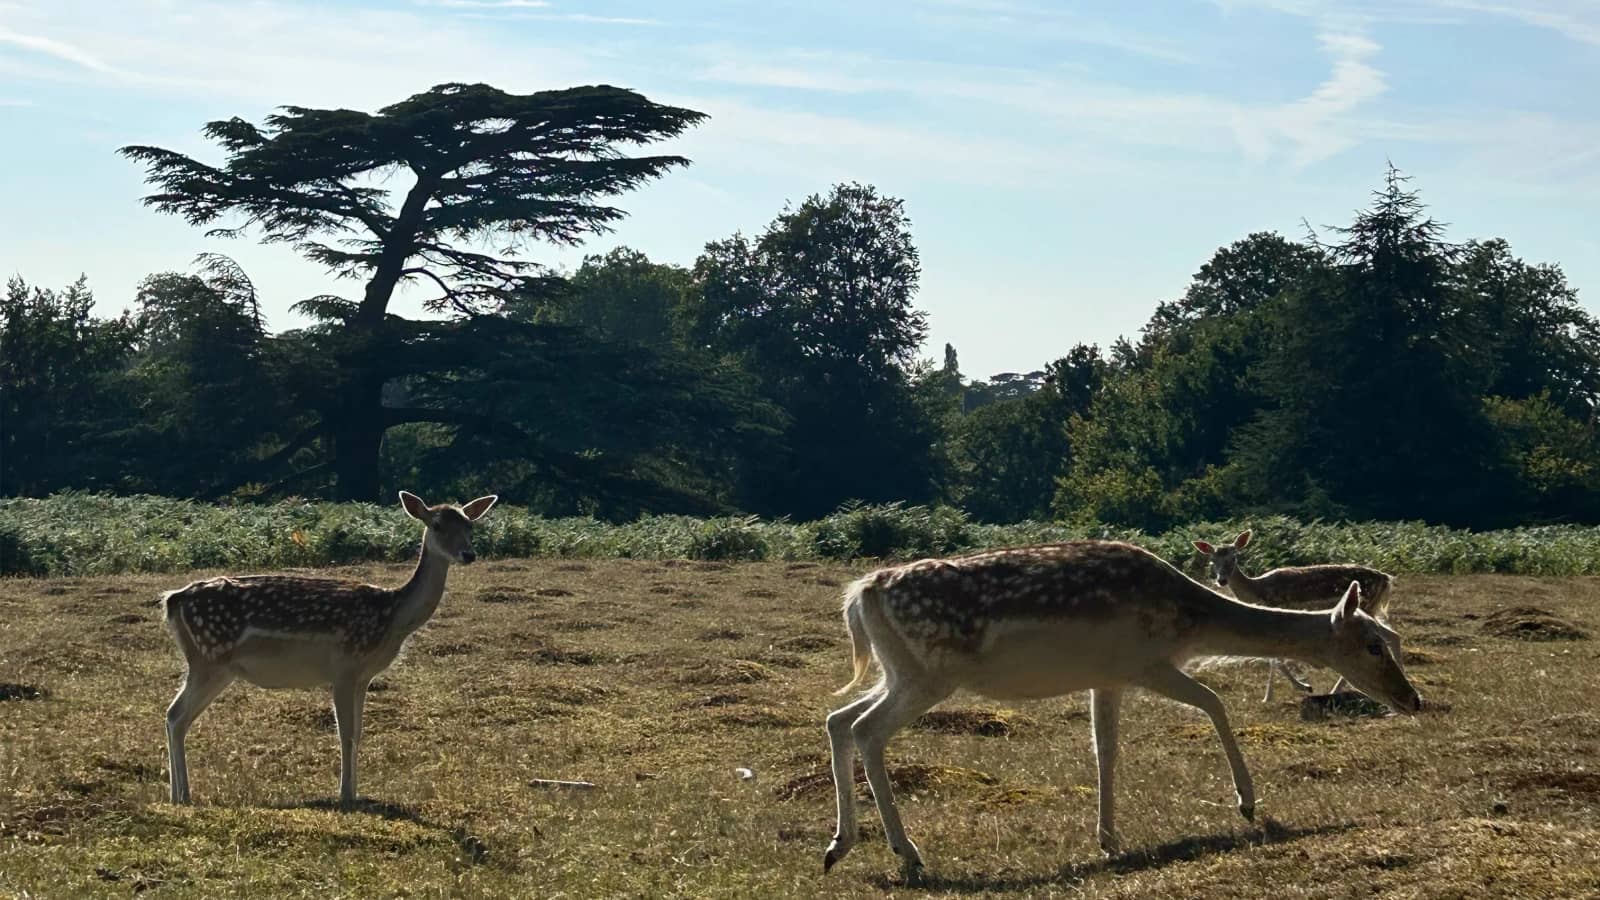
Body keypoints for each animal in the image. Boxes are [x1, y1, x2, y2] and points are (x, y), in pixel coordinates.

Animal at [160, 490, 497, 808]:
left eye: (470, 525)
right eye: (437, 525)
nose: (469, 554)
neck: (390, 618)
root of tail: (172, 601)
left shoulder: (363, 676)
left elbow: (359, 732)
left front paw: (357, 792)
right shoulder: (344, 666)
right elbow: (344, 734)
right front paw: (345, 795)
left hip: (213, 665)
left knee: (175, 716)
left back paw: (177, 795)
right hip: (209, 658)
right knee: (176, 715)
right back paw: (184, 796)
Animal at [1193, 530, 1394, 700]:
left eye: (1234, 557)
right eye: (1212, 560)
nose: (1221, 580)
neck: (1258, 592)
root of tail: (1385, 578)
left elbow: (1276, 659)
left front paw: (1285, 691)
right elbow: (1275, 658)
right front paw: (1284, 691)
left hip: (1365, 607)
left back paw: (1337, 689)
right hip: (1370, 610)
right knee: (1393, 634)